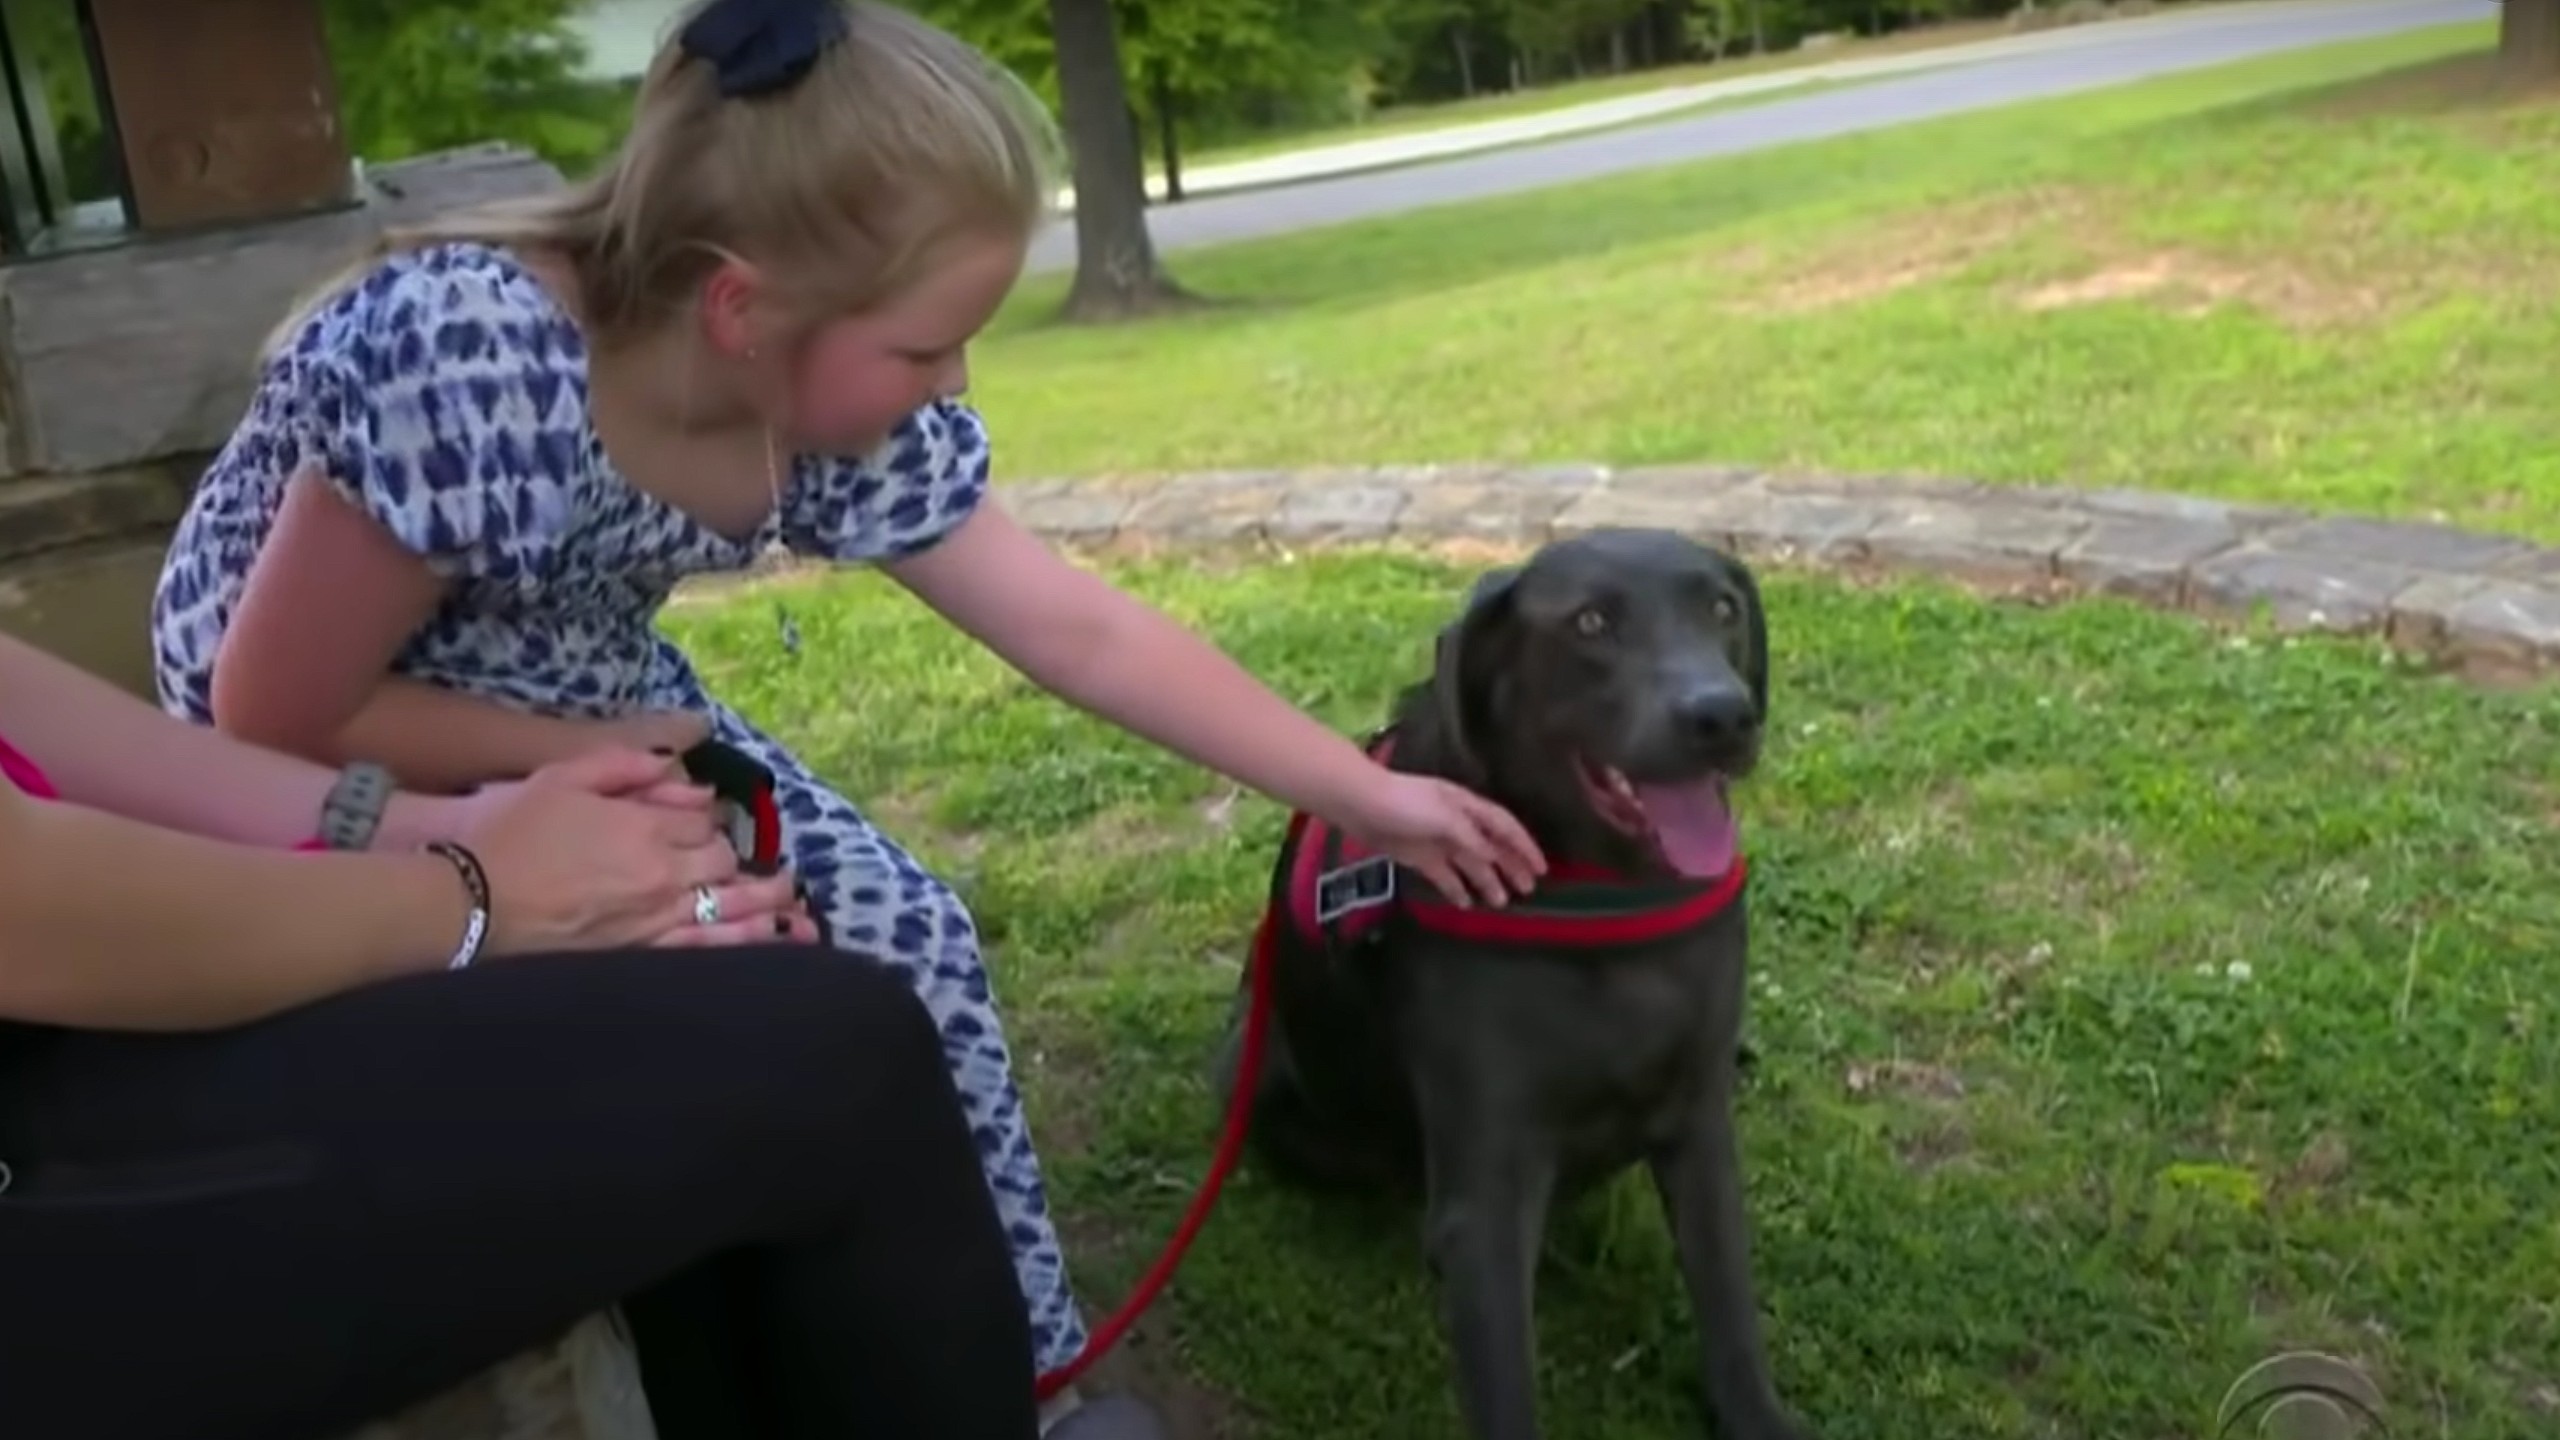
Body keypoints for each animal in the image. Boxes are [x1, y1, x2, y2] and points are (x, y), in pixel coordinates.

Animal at [1213, 527, 1812, 1440]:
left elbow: (1727, 1300)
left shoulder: (1698, 1123)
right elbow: (1503, 1381)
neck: (1605, 893)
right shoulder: (1487, 1194)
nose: (1722, 714)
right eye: (1591, 622)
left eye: (1722, 608)